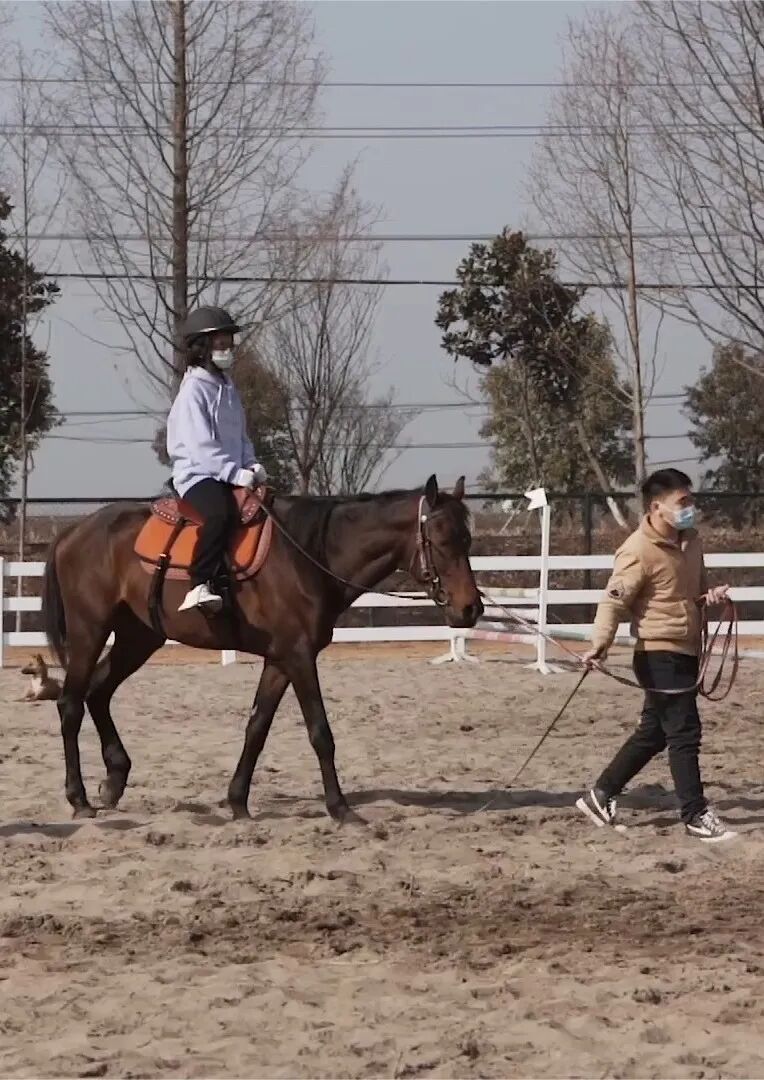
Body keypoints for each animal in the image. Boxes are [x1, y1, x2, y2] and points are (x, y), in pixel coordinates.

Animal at [42, 474, 482, 822]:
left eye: (467, 539)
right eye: (441, 539)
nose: (471, 608)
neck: (312, 554)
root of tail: (72, 532)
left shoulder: (280, 659)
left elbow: (257, 727)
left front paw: (238, 802)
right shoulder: (300, 657)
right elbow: (320, 732)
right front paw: (340, 808)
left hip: (139, 637)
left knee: (98, 691)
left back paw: (114, 780)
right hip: (90, 631)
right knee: (71, 703)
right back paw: (79, 798)